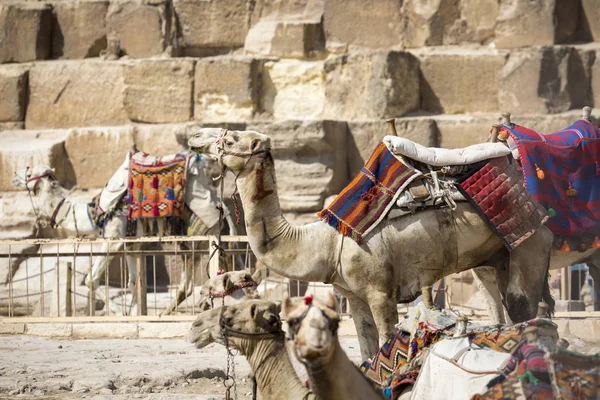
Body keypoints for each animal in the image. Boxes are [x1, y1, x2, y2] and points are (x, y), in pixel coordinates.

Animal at [11, 152, 236, 314]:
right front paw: (135, 314)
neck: (92, 214)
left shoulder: (113, 238)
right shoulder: (131, 244)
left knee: (191, 281)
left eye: (29, 174)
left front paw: (119, 312)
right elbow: (134, 281)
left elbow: (92, 279)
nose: (14, 176)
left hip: (199, 239)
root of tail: (223, 209)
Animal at [190, 127, 556, 360]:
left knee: (523, 307)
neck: (327, 242)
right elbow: (366, 349)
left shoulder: (381, 292)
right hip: (495, 259)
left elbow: (385, 341)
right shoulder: (353, 296)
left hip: (530, 246)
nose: (194, 137)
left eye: (232, 138)